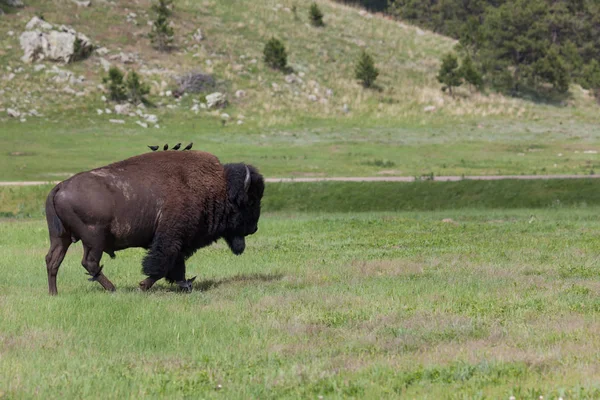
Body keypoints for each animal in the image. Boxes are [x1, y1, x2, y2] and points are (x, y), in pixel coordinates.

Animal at [43, 150, 264, 294]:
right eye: (250, 201)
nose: (254, 228)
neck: (217, 188)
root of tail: (60, 187)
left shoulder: (179, 243)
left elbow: (176, 266)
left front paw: (184, 284)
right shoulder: (171, 239)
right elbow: (162, 264)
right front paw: (144, 285)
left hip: (60, 238)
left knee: (53, 260)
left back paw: (54, 293)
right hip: (94, 239)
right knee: (89, 262)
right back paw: (113, 288)